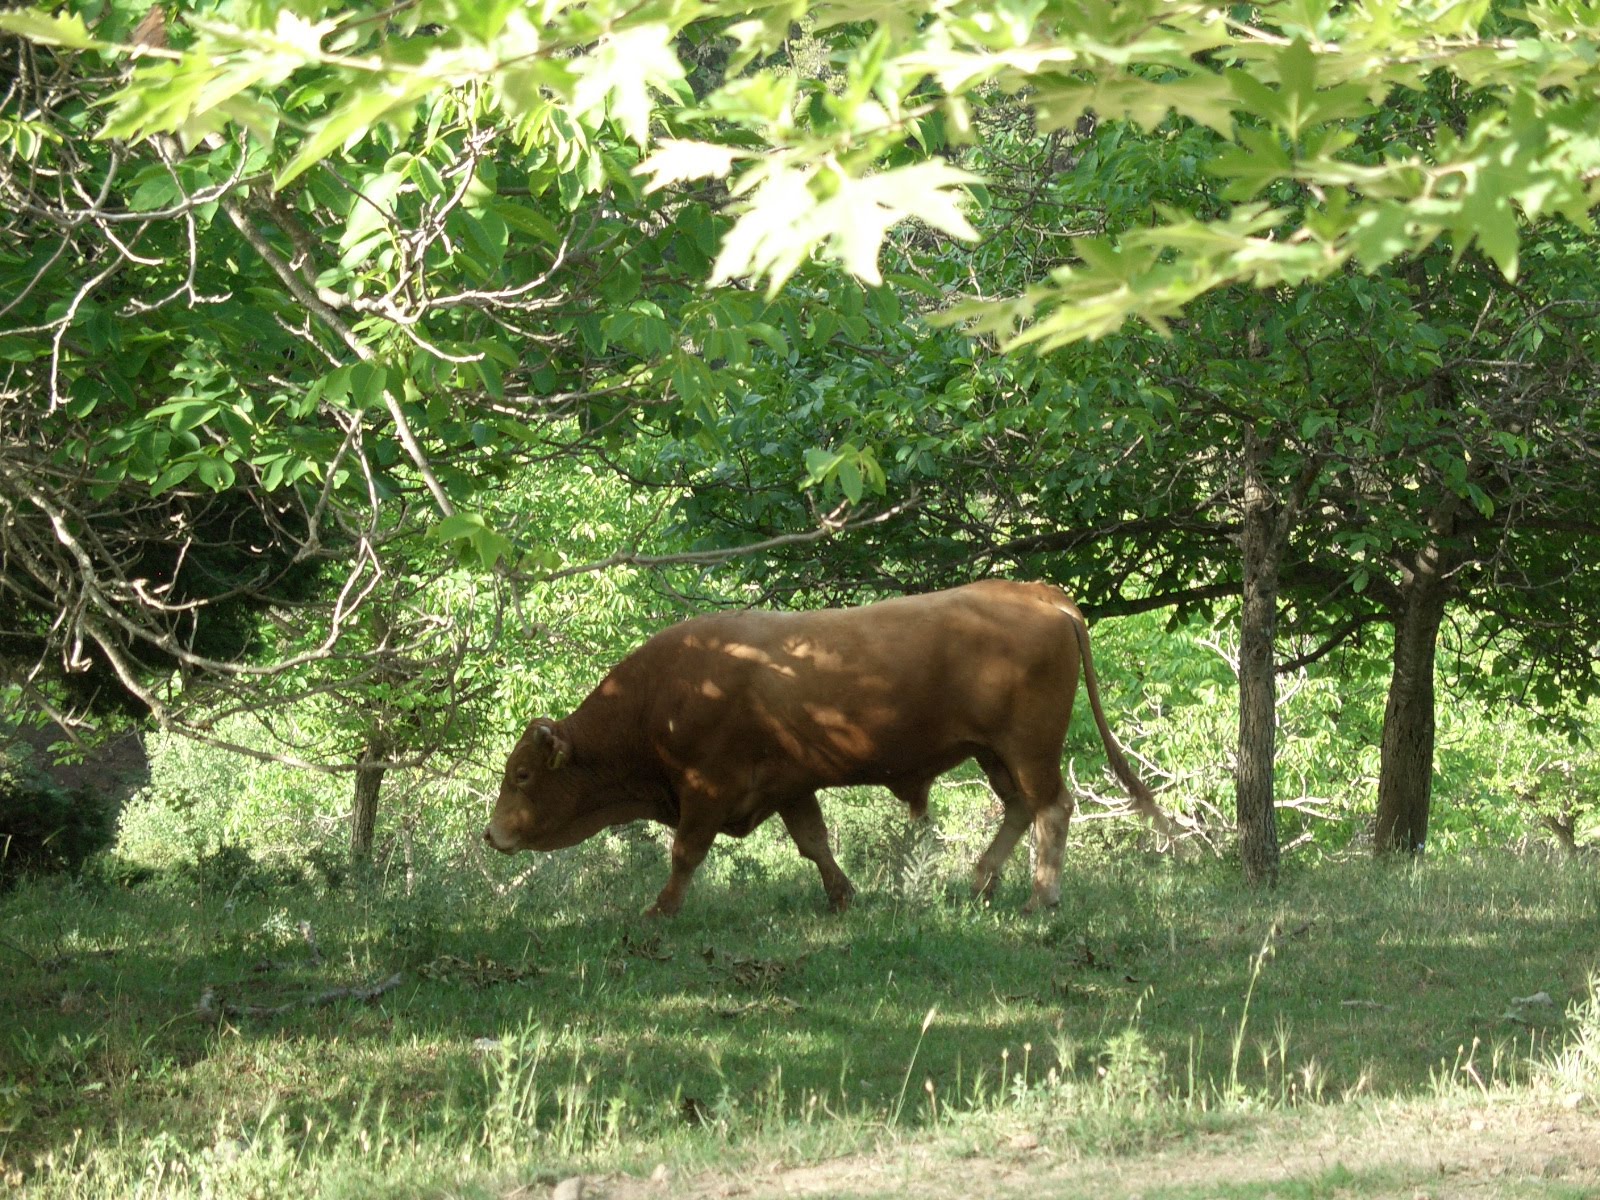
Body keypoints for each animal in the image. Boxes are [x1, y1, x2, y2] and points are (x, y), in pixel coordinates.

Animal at [480, 579, 1171, 908]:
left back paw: (1040, 896)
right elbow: (814, 842)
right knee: (1021, 808)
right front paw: (842, 896)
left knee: (1052, 807)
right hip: (994, 753)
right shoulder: (788, 786)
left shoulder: (706, 790)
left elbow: (684, 854)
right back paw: (979, 882)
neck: (663, 695)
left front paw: (660, 910)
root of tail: (1038, 594)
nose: (492, 834)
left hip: (1027, 749)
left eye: (521, 775)